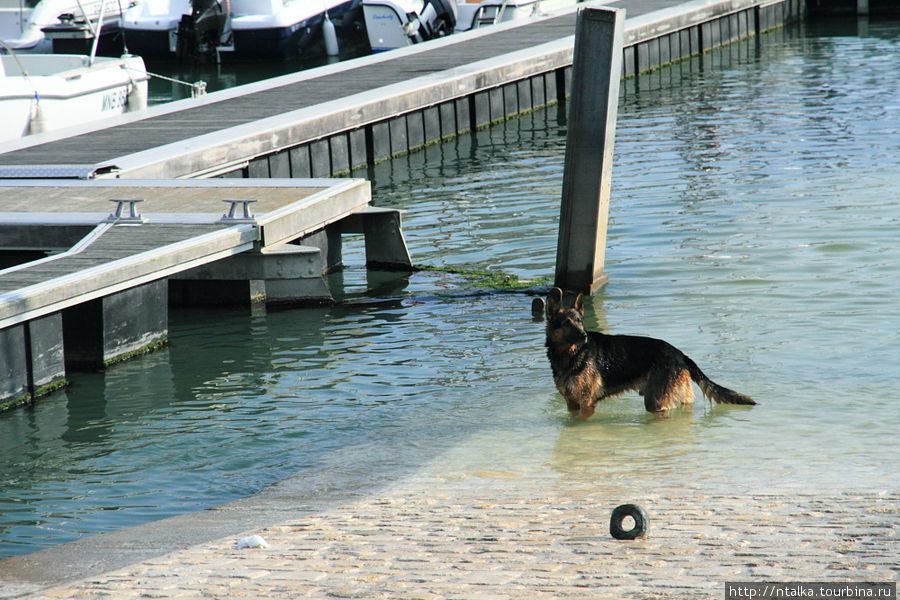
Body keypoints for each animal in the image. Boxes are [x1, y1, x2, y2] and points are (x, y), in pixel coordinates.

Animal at [544, 288, 756, 420]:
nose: (584, 336)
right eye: (566, 323)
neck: (570, 354)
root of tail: (680, 354)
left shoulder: (586, 404)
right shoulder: (571, 403)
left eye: (580, 322)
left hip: (655, 402)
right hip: (674, 397)